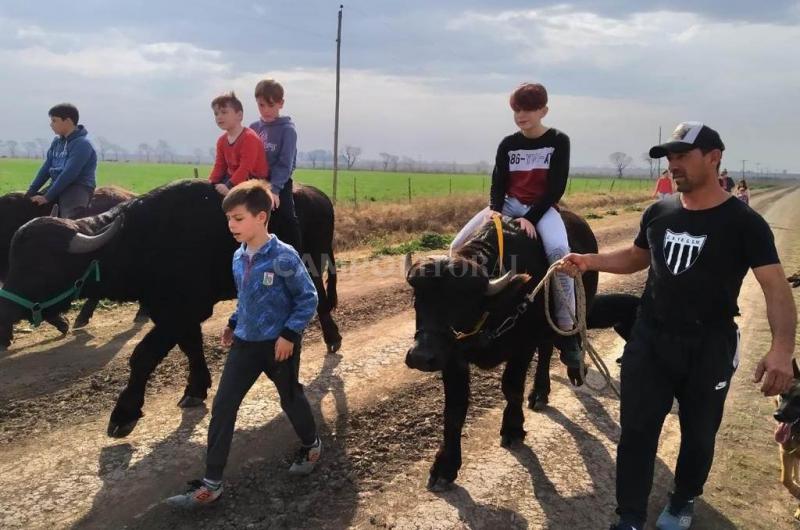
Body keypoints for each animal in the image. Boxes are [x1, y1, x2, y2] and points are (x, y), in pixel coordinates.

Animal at [0, 179, 338, 436]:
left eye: (41, 269)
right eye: (14, 259)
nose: (4, 308)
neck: (140, 240)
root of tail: (320, 196)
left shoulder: (183, 311)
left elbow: (143, 355)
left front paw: (124, 412)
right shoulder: (173, 312)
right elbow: (191, 347)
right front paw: (196, 388)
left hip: (314, 258)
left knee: (320, 298)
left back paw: (333, 338)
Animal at [410, 212, 636, 488]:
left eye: (460, 302)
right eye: (416, 300)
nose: (421, 356)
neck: (494, 309)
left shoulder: (523, 346)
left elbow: (512, 387)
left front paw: (512, 428)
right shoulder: (452, 357)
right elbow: (454, 408)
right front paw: (445, 465)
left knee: (553, 348)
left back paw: (553, 380)